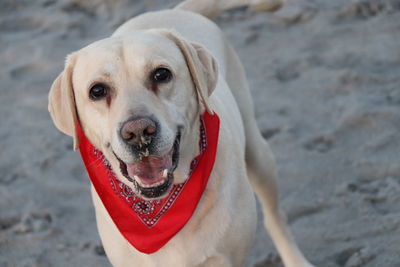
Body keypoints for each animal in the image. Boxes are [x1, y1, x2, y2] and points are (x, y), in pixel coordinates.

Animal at [48, 0, 314, 266]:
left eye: (161, 74)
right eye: (97, 91)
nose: (138, 131)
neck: (160, 205)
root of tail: (176, 11)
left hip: (258, 154)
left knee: (275, 216)